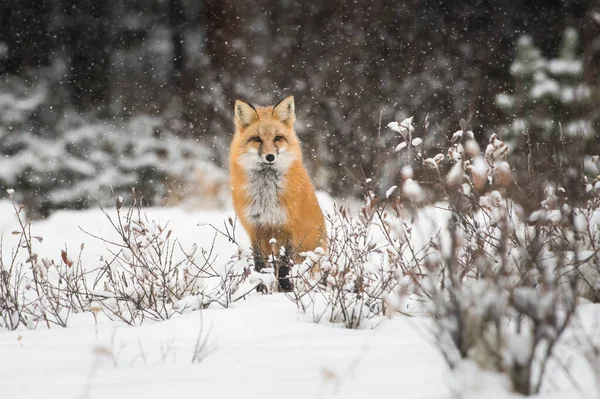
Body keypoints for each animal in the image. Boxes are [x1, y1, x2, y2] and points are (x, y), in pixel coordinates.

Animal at [230, 96, 326, 290]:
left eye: (277, 138)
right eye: (256, 139)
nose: (269, 157)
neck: (266, 195)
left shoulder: (286, 227)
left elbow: (283, 265)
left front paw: (285, 290)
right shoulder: (256, 228)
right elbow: (260, 265)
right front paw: (260, 290)